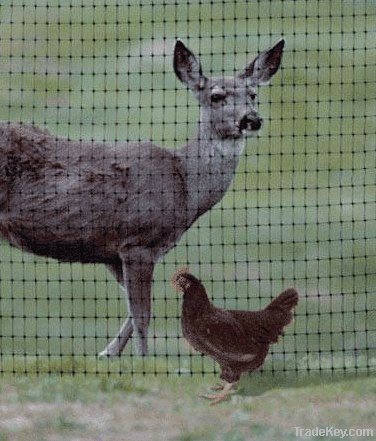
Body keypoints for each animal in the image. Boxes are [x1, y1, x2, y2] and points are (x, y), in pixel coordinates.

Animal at [0, 39, 284, 358]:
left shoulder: (113, 252)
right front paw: (142, 360)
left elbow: (131, 312)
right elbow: (143, 316)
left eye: (253, 94)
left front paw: (107, 354)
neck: (186, 186)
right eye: (216, 95)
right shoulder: (139, 242)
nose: (251, 119)